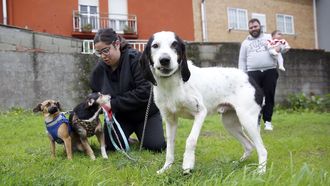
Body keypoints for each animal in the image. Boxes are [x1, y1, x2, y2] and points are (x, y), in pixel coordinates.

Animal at [139, 30, 266, 174]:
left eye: (174, 45)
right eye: (155, 46)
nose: (164, 60)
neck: (172, 85)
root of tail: (249, 77)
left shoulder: (200, 113)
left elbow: (191, 140)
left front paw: (188, 164)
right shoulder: (170, 120)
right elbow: (170, 146)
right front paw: (166, 168)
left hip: (247, 120)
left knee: (262, 149)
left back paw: (261, 171)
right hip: (230, 123)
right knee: (249, 145)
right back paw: (238, 164)